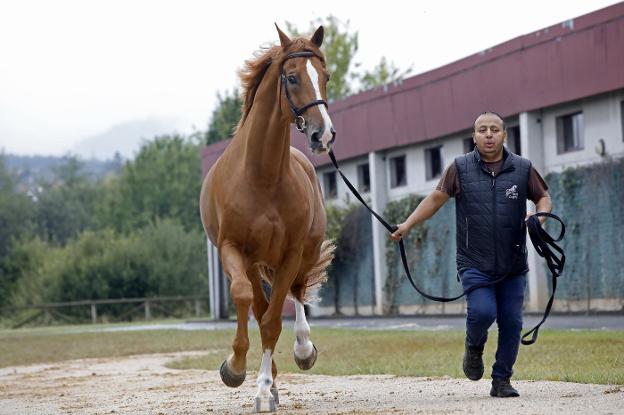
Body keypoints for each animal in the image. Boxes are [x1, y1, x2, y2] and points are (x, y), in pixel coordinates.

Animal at [200, 26, 336, 412]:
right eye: (291, 77)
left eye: (325, 77)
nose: (323, 135)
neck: (261, 176)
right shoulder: (234, 251)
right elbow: (245, 299)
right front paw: (235, 369)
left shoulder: (290, 254)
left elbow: (273, 322)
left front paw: (262, 389)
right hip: (254, 262)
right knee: (257, 304)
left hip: (301, 254)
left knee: (297, 292)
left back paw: (303, 349)